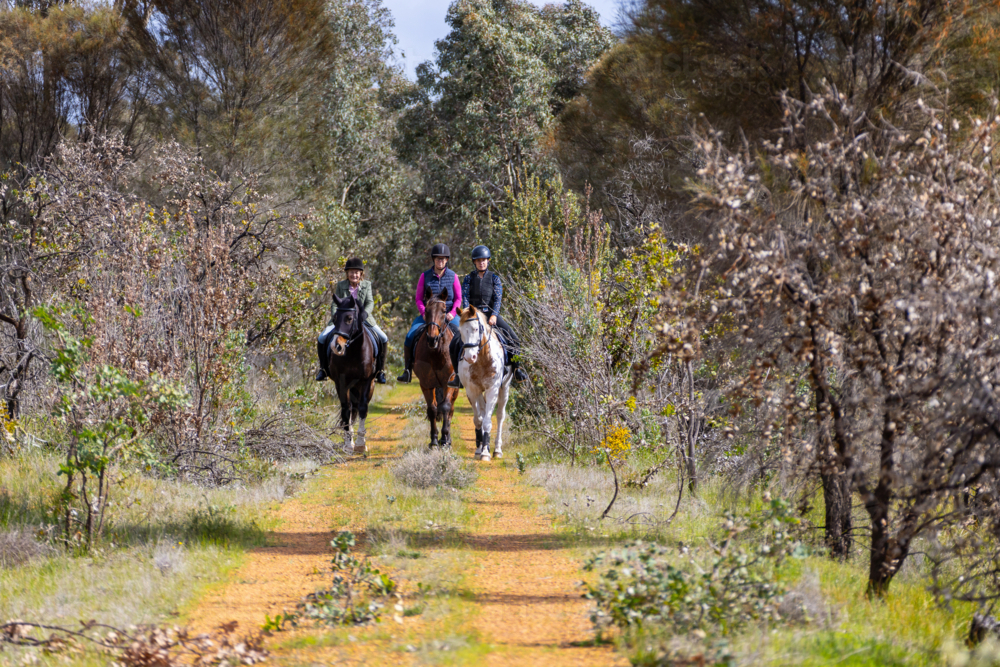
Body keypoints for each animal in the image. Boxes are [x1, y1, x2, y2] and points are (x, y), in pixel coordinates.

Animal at [326, 294, 376, 456]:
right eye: (334, 318)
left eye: (349, 318)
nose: (336, 346)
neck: (354, 351)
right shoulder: (341, 383)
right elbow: (346, 411)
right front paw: (349, 444)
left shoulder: (366, 381)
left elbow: (362, 408)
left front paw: (360, 444)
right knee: (351, 409)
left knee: (358, 408)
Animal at [412, 288, 458, 448]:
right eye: (426, 310)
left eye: (444, 311)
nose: (432, 339)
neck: (437, 352)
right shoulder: (426, 383)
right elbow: (432, 409)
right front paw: (433, 440)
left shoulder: (449, 381)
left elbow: (445, 407)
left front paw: (444, 439)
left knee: (450, 408)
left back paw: (448, 439)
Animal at [456, 306, 512, 460]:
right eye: (460, 331)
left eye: (476, 328)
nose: (470, 357)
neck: (482, 360)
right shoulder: (472, 390)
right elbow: (478, 420)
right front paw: (480, 448)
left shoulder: (492, 389)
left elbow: (487, 422)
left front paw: (486, 453)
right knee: (482, 412)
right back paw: (480, 447)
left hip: (504, 388)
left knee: (499, 416)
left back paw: (497, 450)